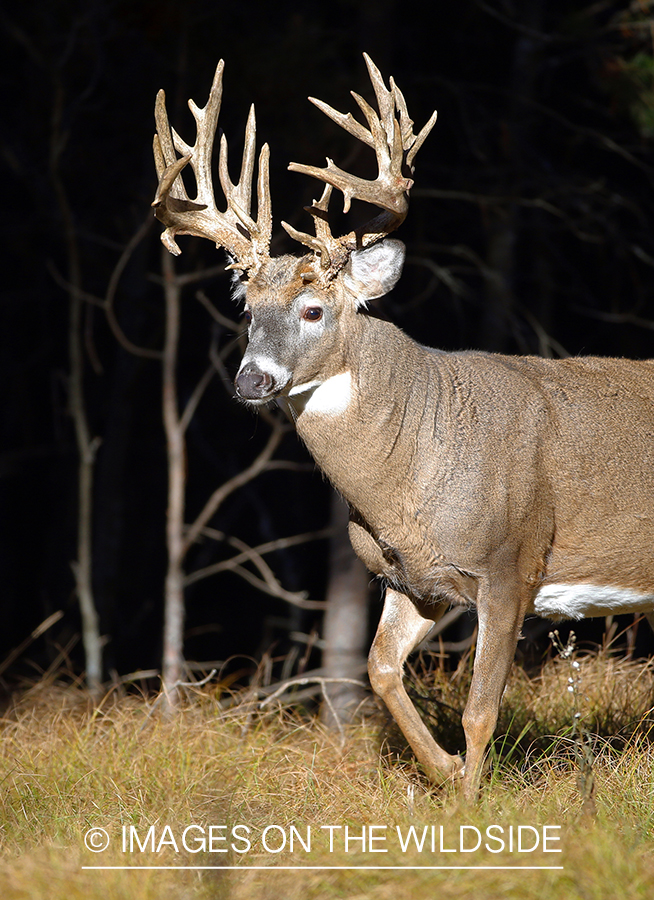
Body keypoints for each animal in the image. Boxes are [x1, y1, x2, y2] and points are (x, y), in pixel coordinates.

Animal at [151, 54, 654, 800]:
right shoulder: (411, 579)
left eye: (312, 310)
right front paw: (442, 772)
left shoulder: (511, 563)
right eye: (245, 308)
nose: (251, 382)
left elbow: (479, 709)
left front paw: (471, 802)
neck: (409, 474)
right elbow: (379, 670)